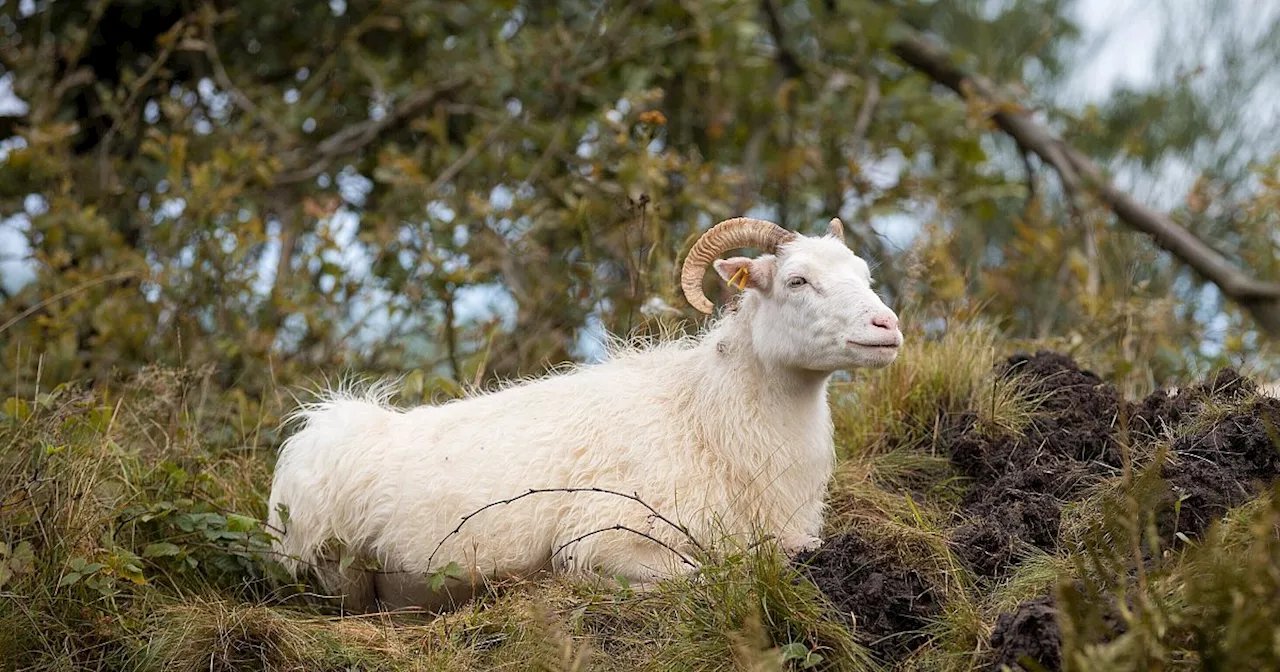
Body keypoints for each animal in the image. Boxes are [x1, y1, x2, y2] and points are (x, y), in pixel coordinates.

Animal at [264, 217, 906, 609]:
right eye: (797, 280)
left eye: (863, 274)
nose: (887, 326)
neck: (703, 416)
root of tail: (321, 428)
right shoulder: (609, 539)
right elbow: (706, 574)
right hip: (335, 568)